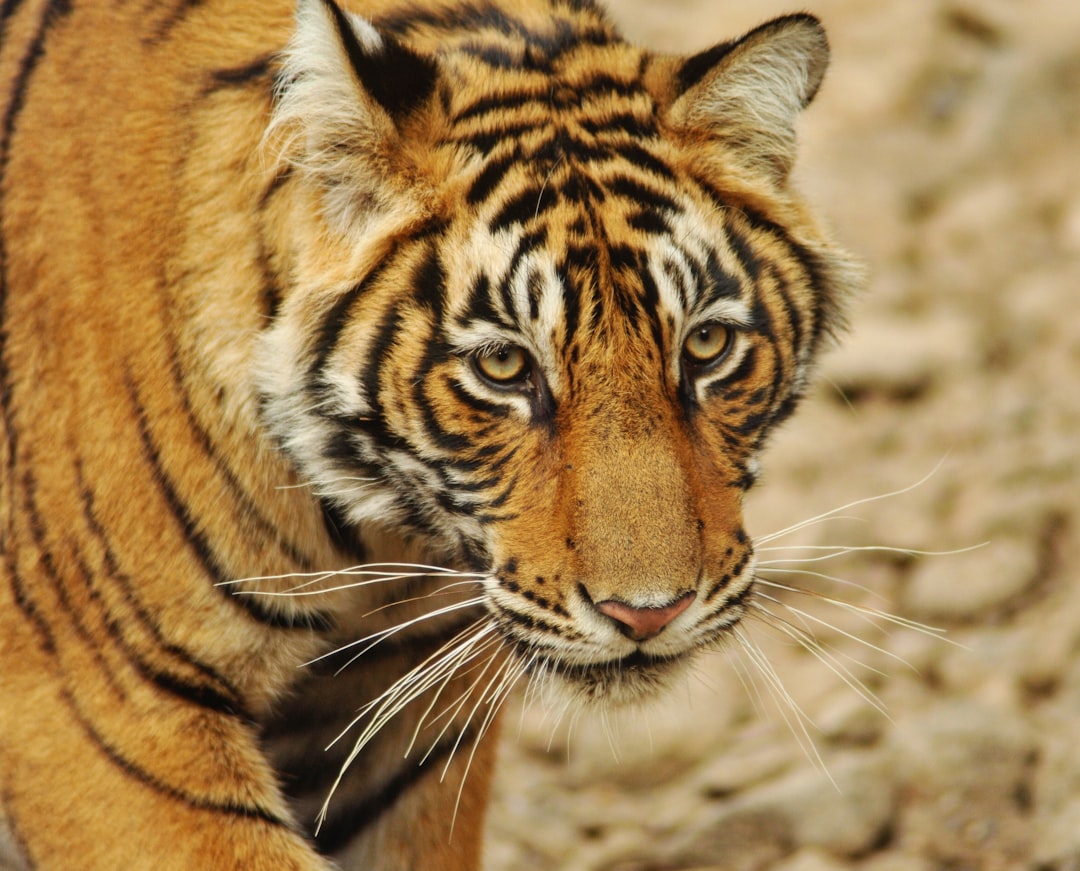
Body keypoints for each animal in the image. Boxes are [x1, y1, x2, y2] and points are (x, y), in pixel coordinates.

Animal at [0, 0, 859, 868]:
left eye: (707, 345)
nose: (648, 615)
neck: (373, 537)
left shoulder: (411, 712)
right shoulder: (107, 706)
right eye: (504, 365)